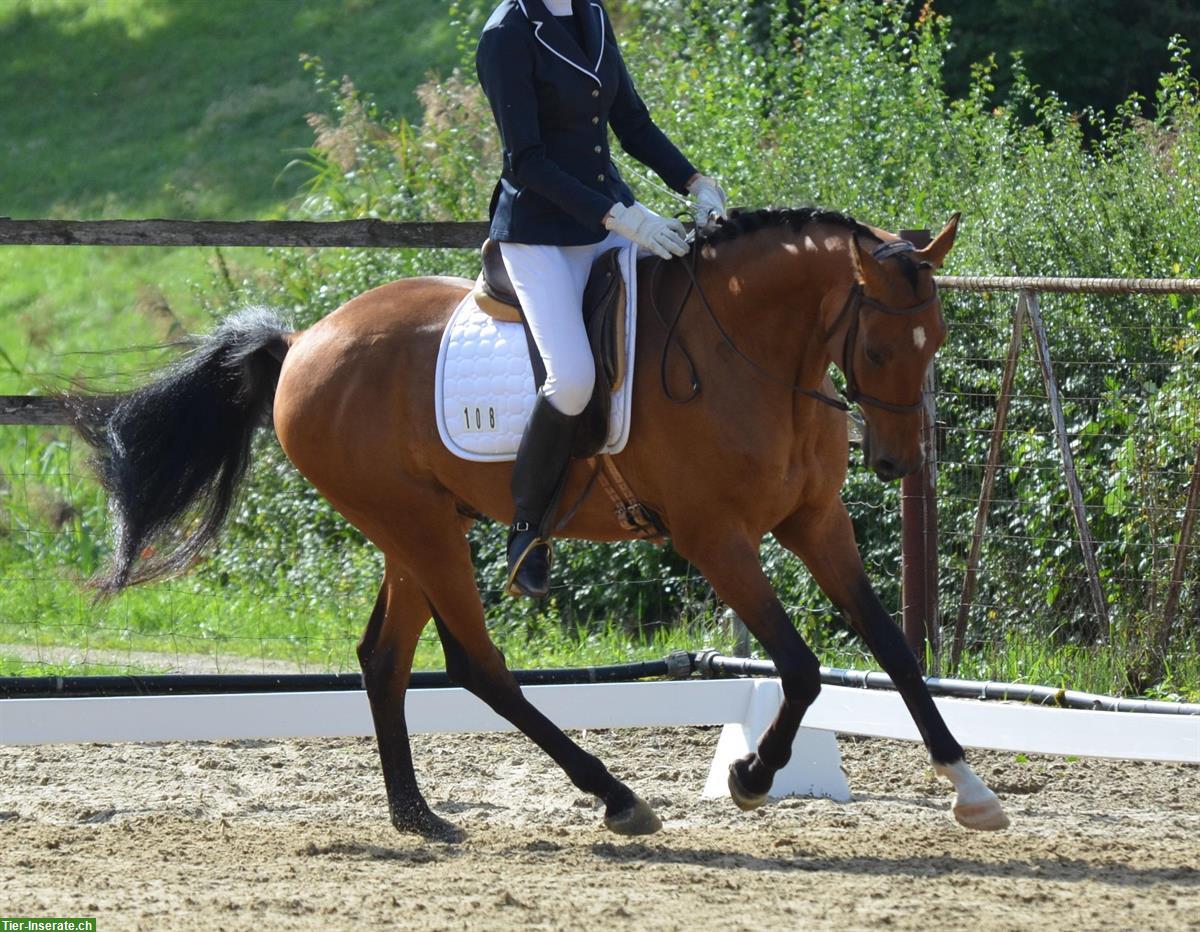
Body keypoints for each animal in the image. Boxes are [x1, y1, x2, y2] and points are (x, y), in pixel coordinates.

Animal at [75, 207, 1008, 839]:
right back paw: (616, 797)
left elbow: (892, 647)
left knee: (385, 658)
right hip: (420, 528)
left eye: (936, 339)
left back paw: (418, 816)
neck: (752, 356)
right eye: (880, 349)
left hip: (415, 527)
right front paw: (750, 774)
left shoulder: (816, 522)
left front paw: (971, 790)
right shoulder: (715, 539)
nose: (898, 466)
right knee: (476, 665)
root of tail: (305, 341)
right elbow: (803, 667)